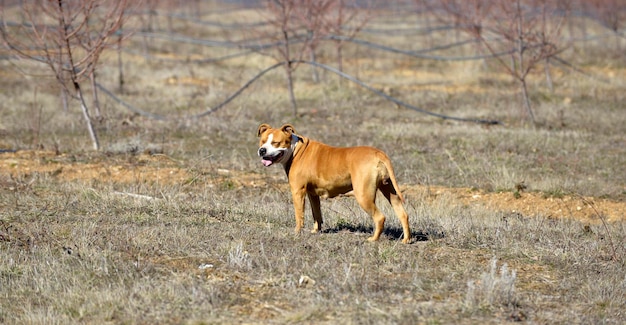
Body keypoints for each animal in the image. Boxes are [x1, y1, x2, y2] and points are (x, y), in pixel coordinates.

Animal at [258, 123, 410, 242]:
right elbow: (317, 214)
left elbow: (299, 215)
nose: (262, 150)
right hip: (391, 192)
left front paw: (297, 232)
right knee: (403, 214)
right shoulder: (312, 194)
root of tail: (378, 153)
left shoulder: (297, 192)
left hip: (363, 195)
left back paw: (373, 239)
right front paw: (316, 231)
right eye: (262, 141)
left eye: (276, 143)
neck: (295, 150)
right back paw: (406, 240)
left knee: (379, 217)